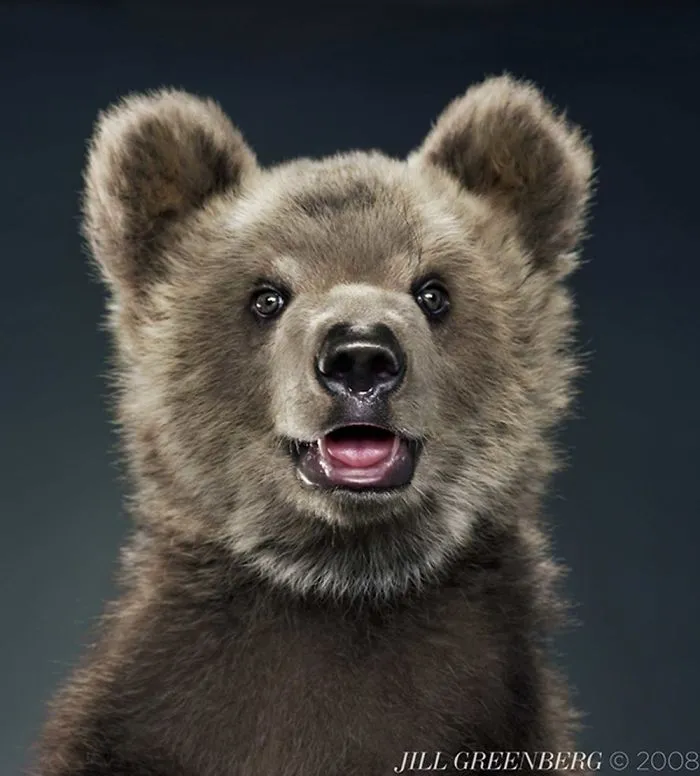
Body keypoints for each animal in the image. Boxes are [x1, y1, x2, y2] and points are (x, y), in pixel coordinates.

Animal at [35, 75, 594, 776]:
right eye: (267, 296)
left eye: (433, 291)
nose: (360, 356)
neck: (341, 579)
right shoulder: (140, 725)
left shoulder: (504, 715)